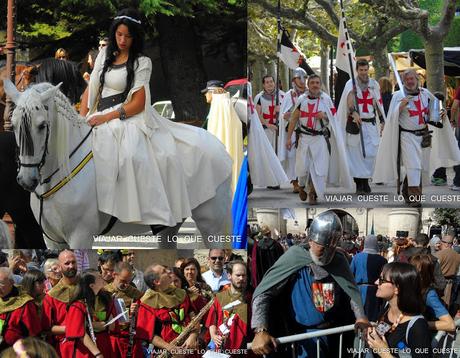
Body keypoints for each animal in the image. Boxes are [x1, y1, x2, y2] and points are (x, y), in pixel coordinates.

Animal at [3, 80, 232, 249]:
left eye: (42, 125)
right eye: (13, 125)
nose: (26, 180)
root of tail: (220, 145)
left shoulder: (81, 236)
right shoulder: (53, 241)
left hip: (212, 224)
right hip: (170, 227)